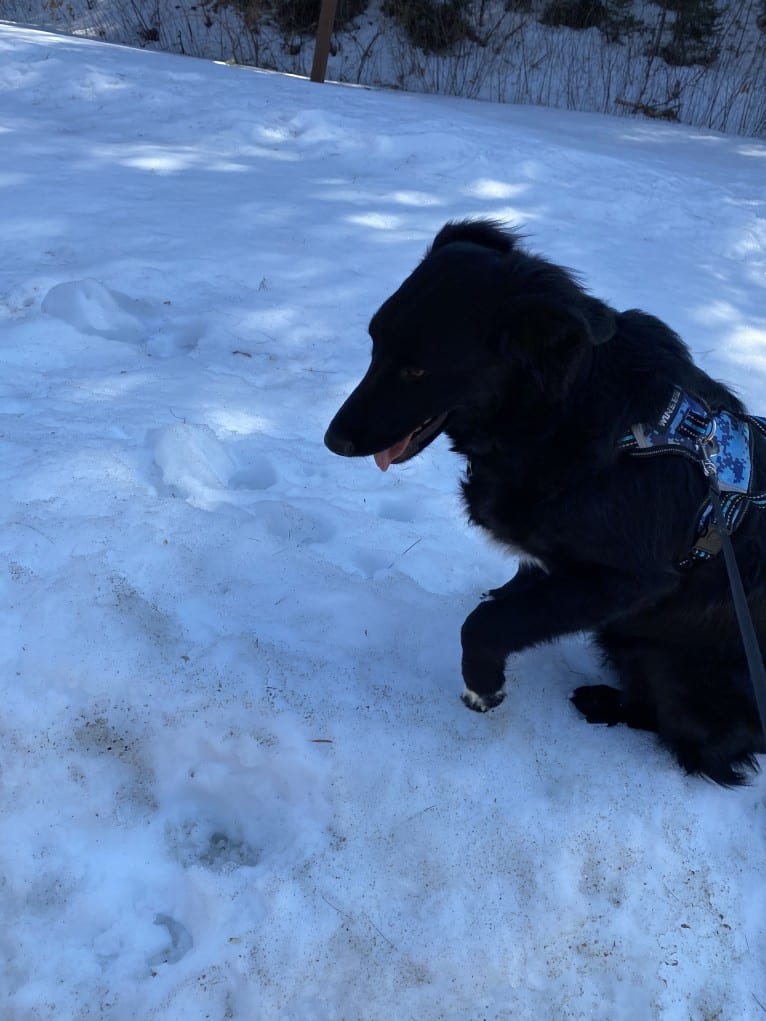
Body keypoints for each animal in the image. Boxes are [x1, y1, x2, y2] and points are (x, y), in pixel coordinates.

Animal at [324, 219, 766, 784]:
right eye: (374, 343)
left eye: (418, 371)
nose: (333, 440)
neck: (565, 415)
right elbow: (516, 593)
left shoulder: (628, 581)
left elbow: (490, 622)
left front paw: (482, 685)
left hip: (667, 664)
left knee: (697, 745)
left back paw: (603, 703)